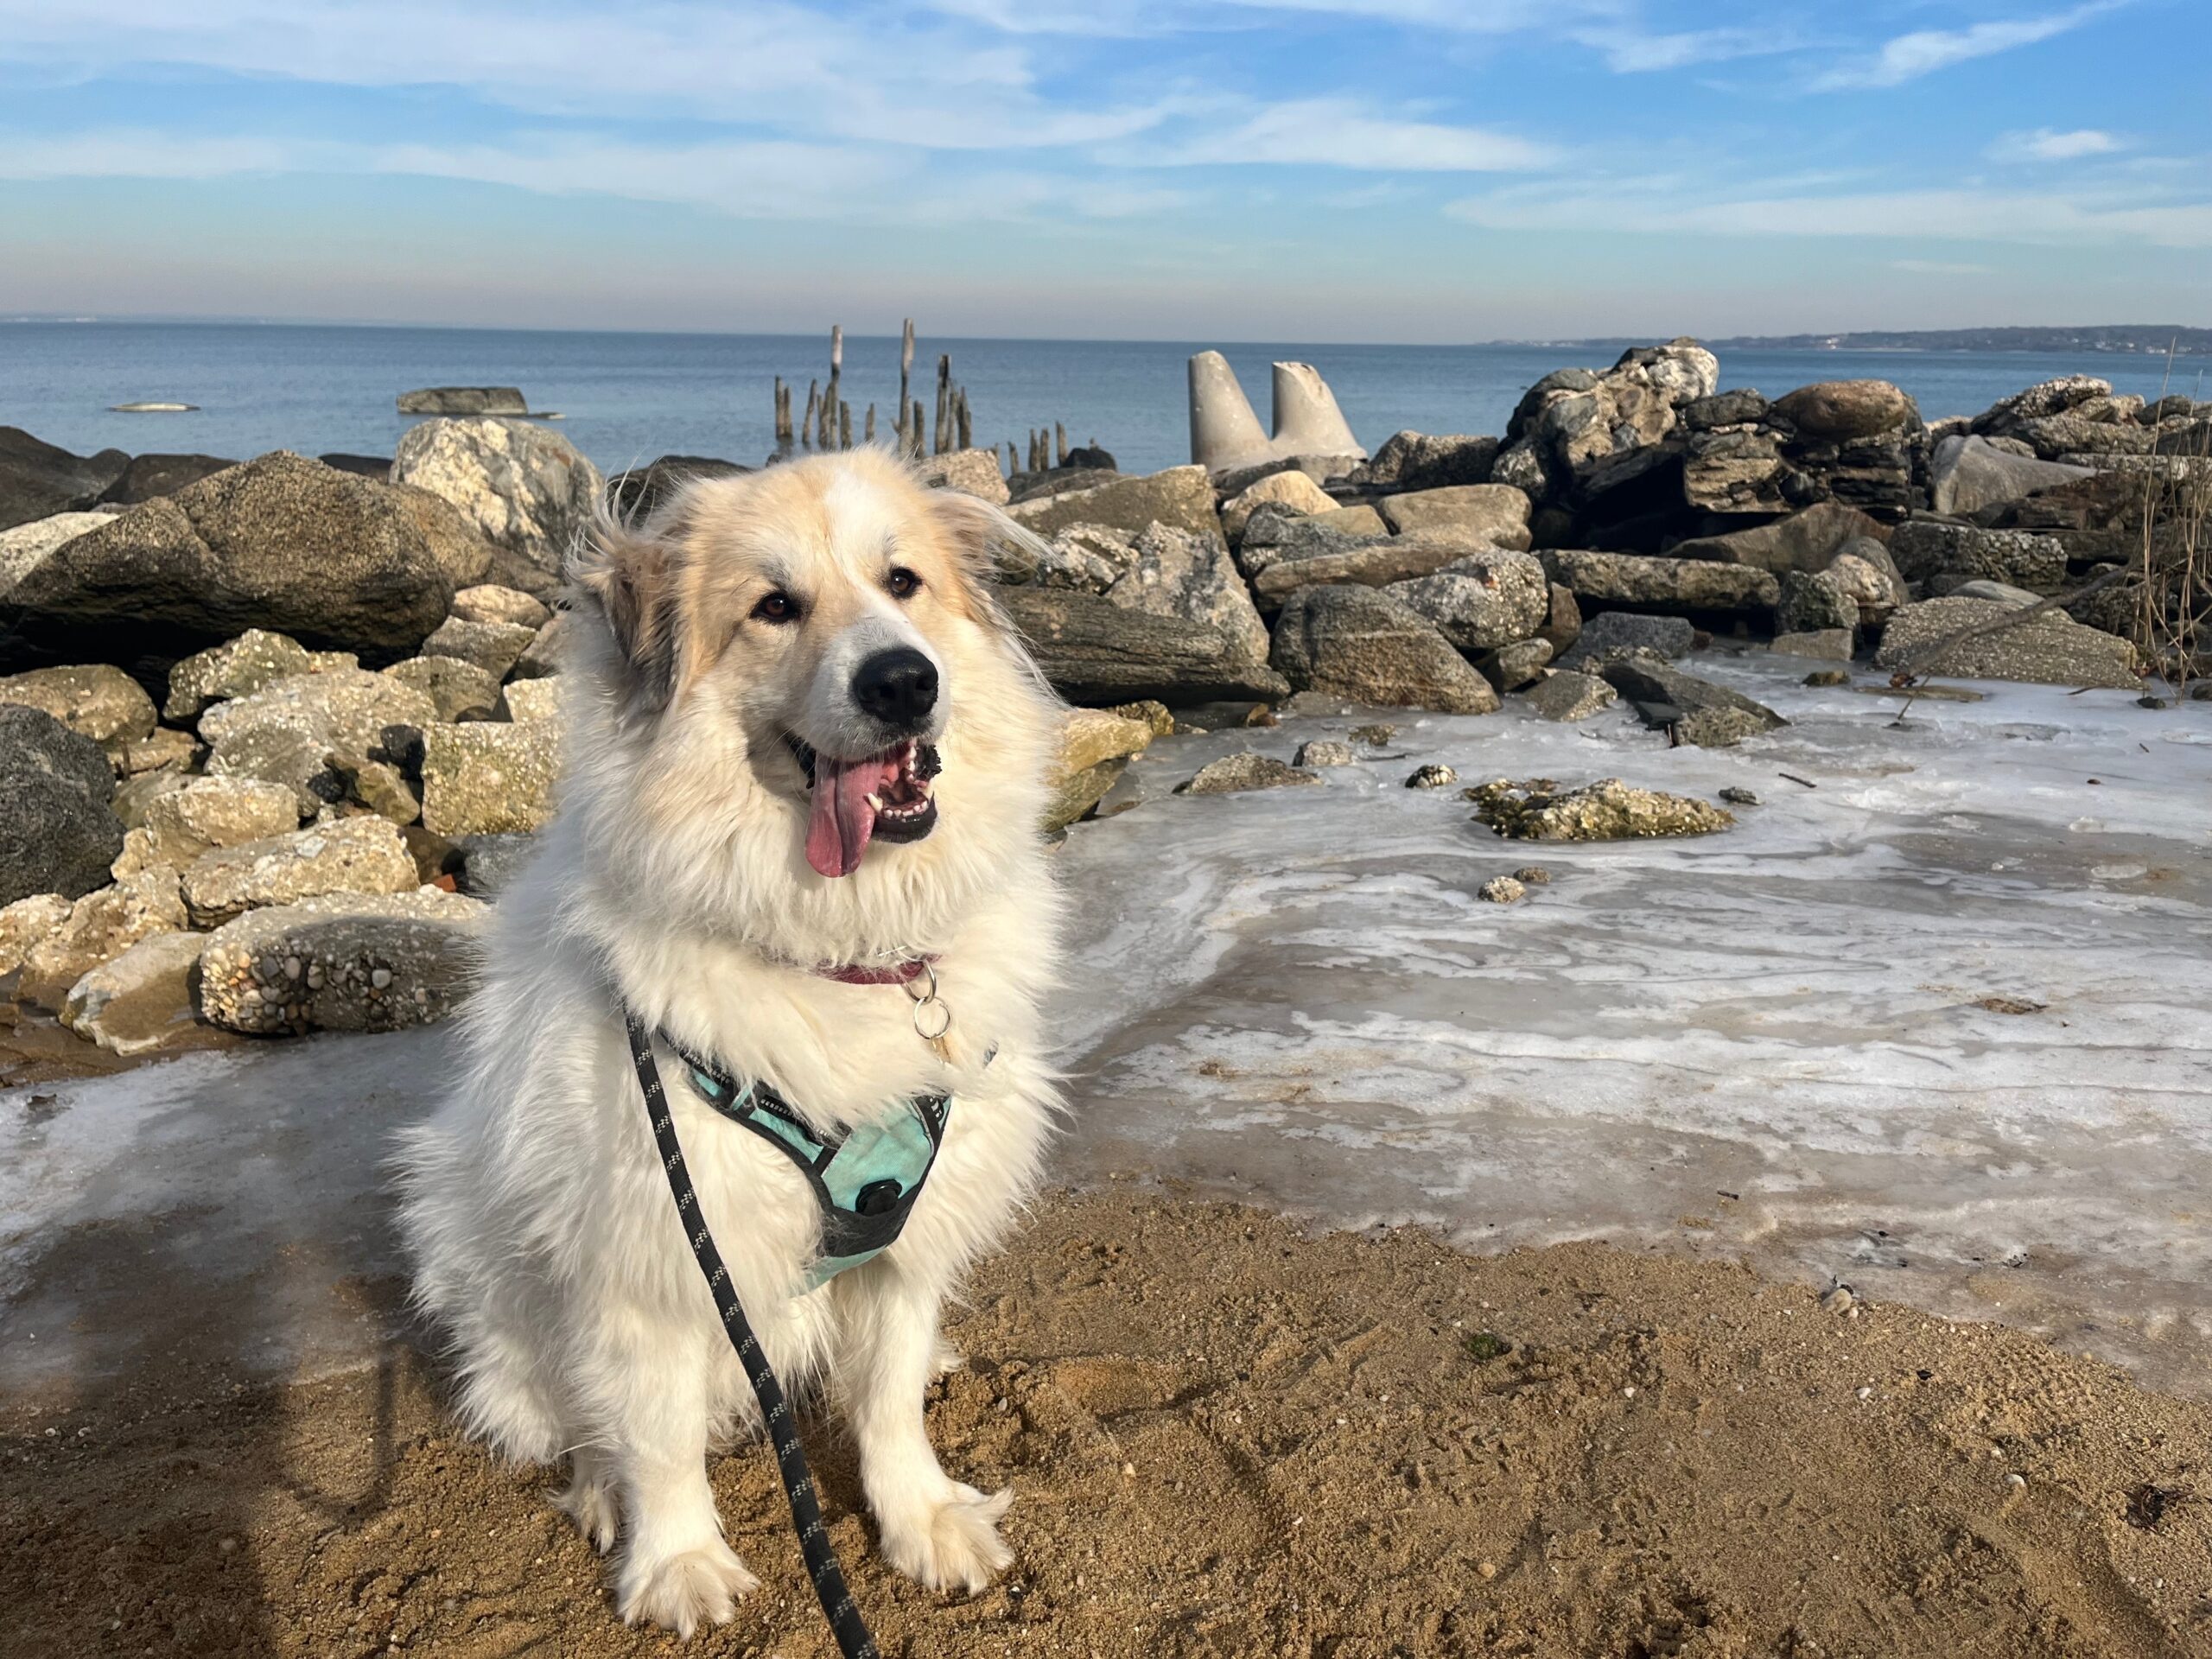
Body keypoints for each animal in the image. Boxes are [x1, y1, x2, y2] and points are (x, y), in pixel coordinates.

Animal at [400, 451, 1071, 1637]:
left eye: (902, 582)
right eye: (773, 607)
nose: (903, 682)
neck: (842, 949)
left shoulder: (906, 1237)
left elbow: (888, 1399)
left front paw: (920, 1519)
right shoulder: (656, 1237)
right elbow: (659, 1433)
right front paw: (678, 1563)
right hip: (478, 1244)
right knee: (576, 1412)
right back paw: (601, 1493)